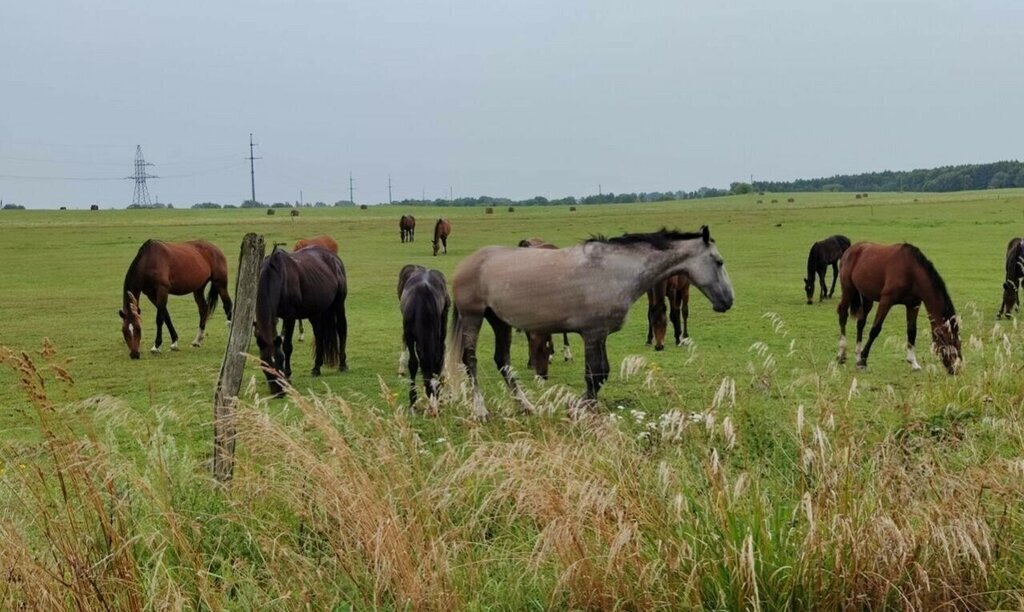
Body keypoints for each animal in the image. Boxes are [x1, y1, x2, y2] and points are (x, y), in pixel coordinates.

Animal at [254, 245, 348, 399]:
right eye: (264, 363)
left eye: (279, 361)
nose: (278, 392)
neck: (276, 276)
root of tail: (334, 258)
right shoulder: (275, 317)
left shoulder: (290, 316)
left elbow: (287, 347)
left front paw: (288, 376)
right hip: (316, 312)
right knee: (319, 335)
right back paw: (316, 368)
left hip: (338, 304)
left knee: (341, 329)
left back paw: (343, 364)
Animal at [835, 243, 962, 374]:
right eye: (950, 343)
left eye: (959, 344)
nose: (956, 369)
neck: (911, 271)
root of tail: (850, 250)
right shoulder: (886, 301)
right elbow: (875, 330)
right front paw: (863, 360)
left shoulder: (913, 304)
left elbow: (911, 331)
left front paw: (913, 362)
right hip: (848, 290)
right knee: (843, 315)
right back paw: (841, 354)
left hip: (867, 298)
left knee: (860, 323)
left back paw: (857, 355)